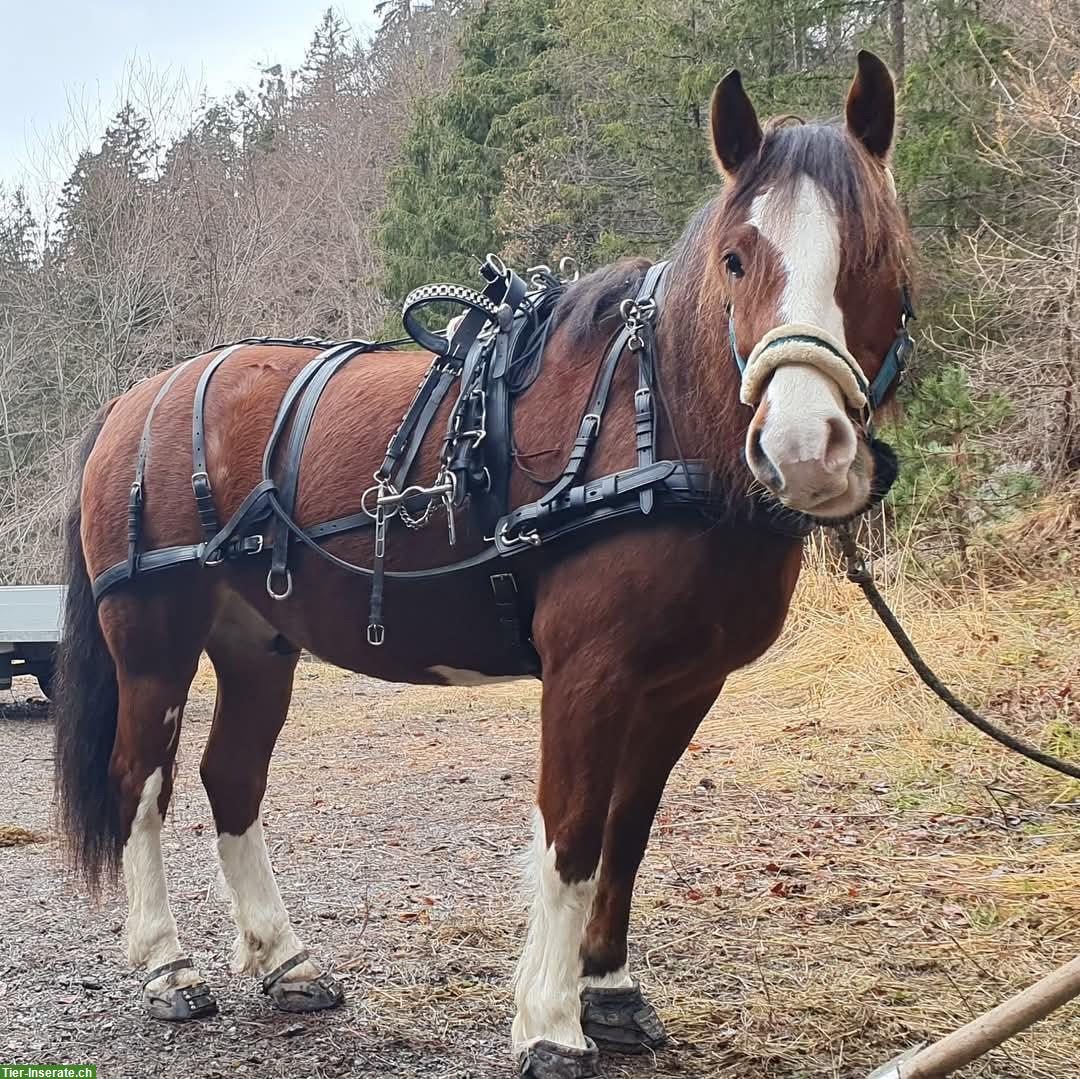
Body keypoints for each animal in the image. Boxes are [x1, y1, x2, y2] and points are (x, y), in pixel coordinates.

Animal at [50, 50, 911, 1079]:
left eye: (881, 255)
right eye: (736, 258)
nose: (804, 448)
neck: (652, 416)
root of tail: (137, 399)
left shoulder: (681, 684)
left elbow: (627, 830)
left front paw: (609, 988)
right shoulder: (590, 671)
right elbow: (574, 832)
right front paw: (550, 1020)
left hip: (257, 644)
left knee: (232, 779)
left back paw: (286, 957)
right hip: (154, 643)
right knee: (142, 781)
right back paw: (166, 964)